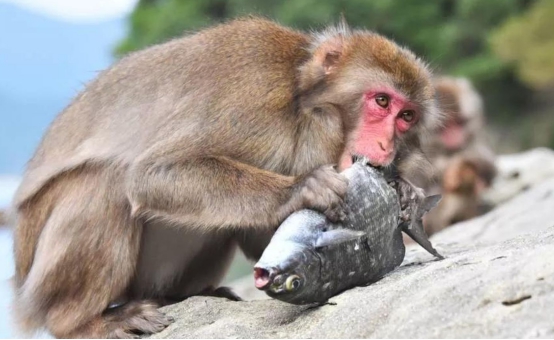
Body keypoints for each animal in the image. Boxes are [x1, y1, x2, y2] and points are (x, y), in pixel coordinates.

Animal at [10, 17, 438, 338]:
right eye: (381, 101)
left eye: (406, 116)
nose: (386, 144)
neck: (302, 106)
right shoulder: (253, 92)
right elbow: (153, 173)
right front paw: (303, 188)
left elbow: (258, 238)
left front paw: (404, 192)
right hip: (42, 280)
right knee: (106, 183)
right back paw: (81, 322)